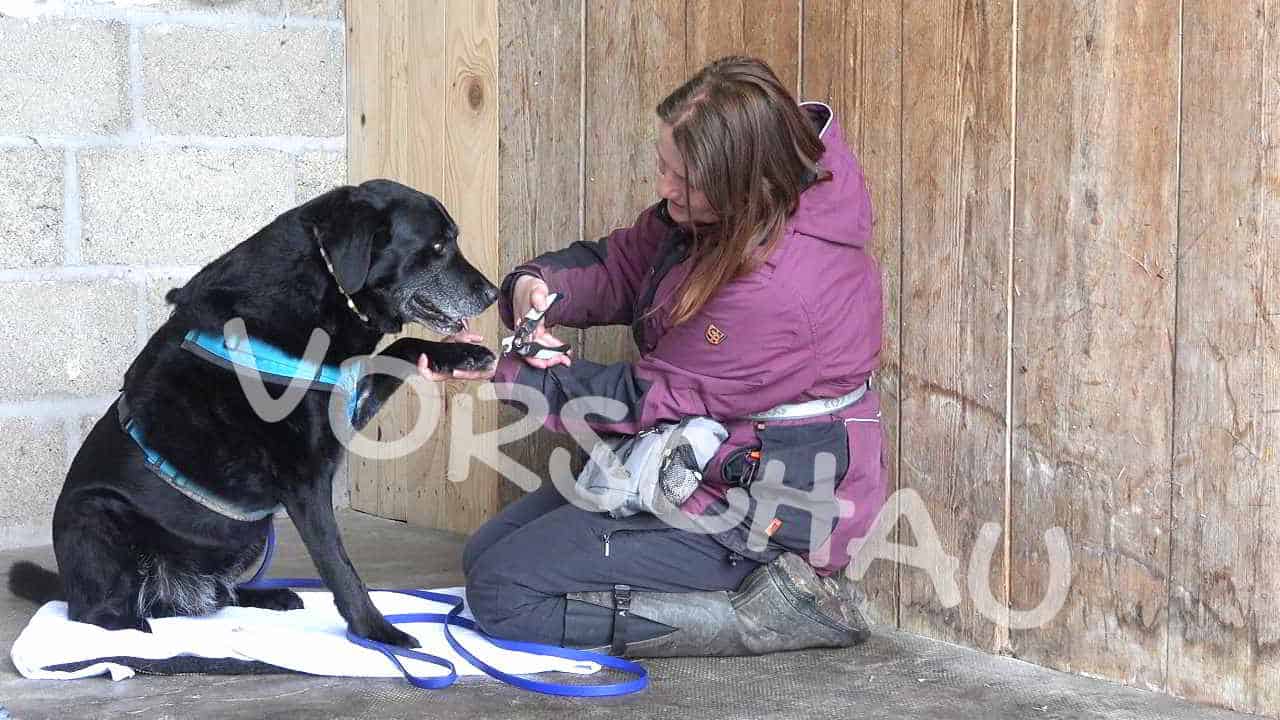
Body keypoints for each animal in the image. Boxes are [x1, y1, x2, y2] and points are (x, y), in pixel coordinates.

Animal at [7, 178, 496, 645]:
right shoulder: (305, 480)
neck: (324, 283)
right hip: (94, 514)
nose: (492, 293)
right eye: (438, 247)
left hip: (249, 535)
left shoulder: (344, 405)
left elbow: (400, 348)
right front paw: (376, 632)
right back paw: (133, 627)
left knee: (213, 596)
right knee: (94, 613)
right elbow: (338, 564)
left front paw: (463, 357)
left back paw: (263, 595)